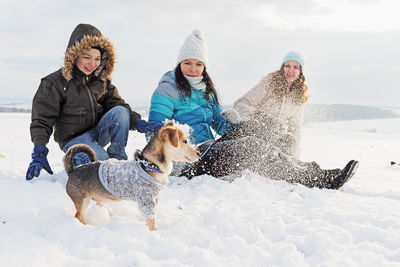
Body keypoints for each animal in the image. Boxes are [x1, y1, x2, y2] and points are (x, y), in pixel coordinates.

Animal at [63, 121, 198, 230]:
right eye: (185, 141)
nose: (198, 152)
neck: (150, 165)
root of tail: (73, 169)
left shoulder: (154, 199)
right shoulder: (146, 201)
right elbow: (151, 220)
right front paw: (154, 233)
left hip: (99, 199)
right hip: (82, 201)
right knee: (78, 216)